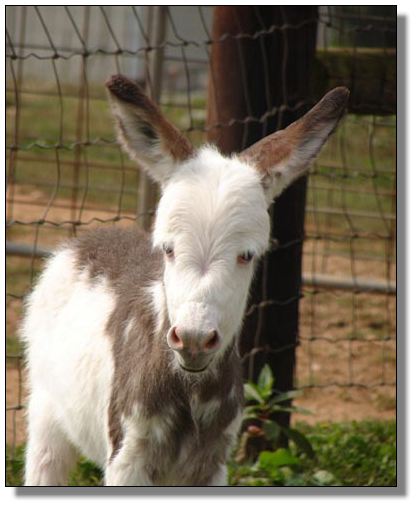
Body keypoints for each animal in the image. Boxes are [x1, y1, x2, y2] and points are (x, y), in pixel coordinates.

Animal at [22, 75, 348, 486]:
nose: (193, 339)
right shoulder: (127, 459)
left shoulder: (212, 464)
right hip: (46, 414)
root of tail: (91, 238)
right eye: (168, 249)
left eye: (247, 255)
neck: (190, 393)